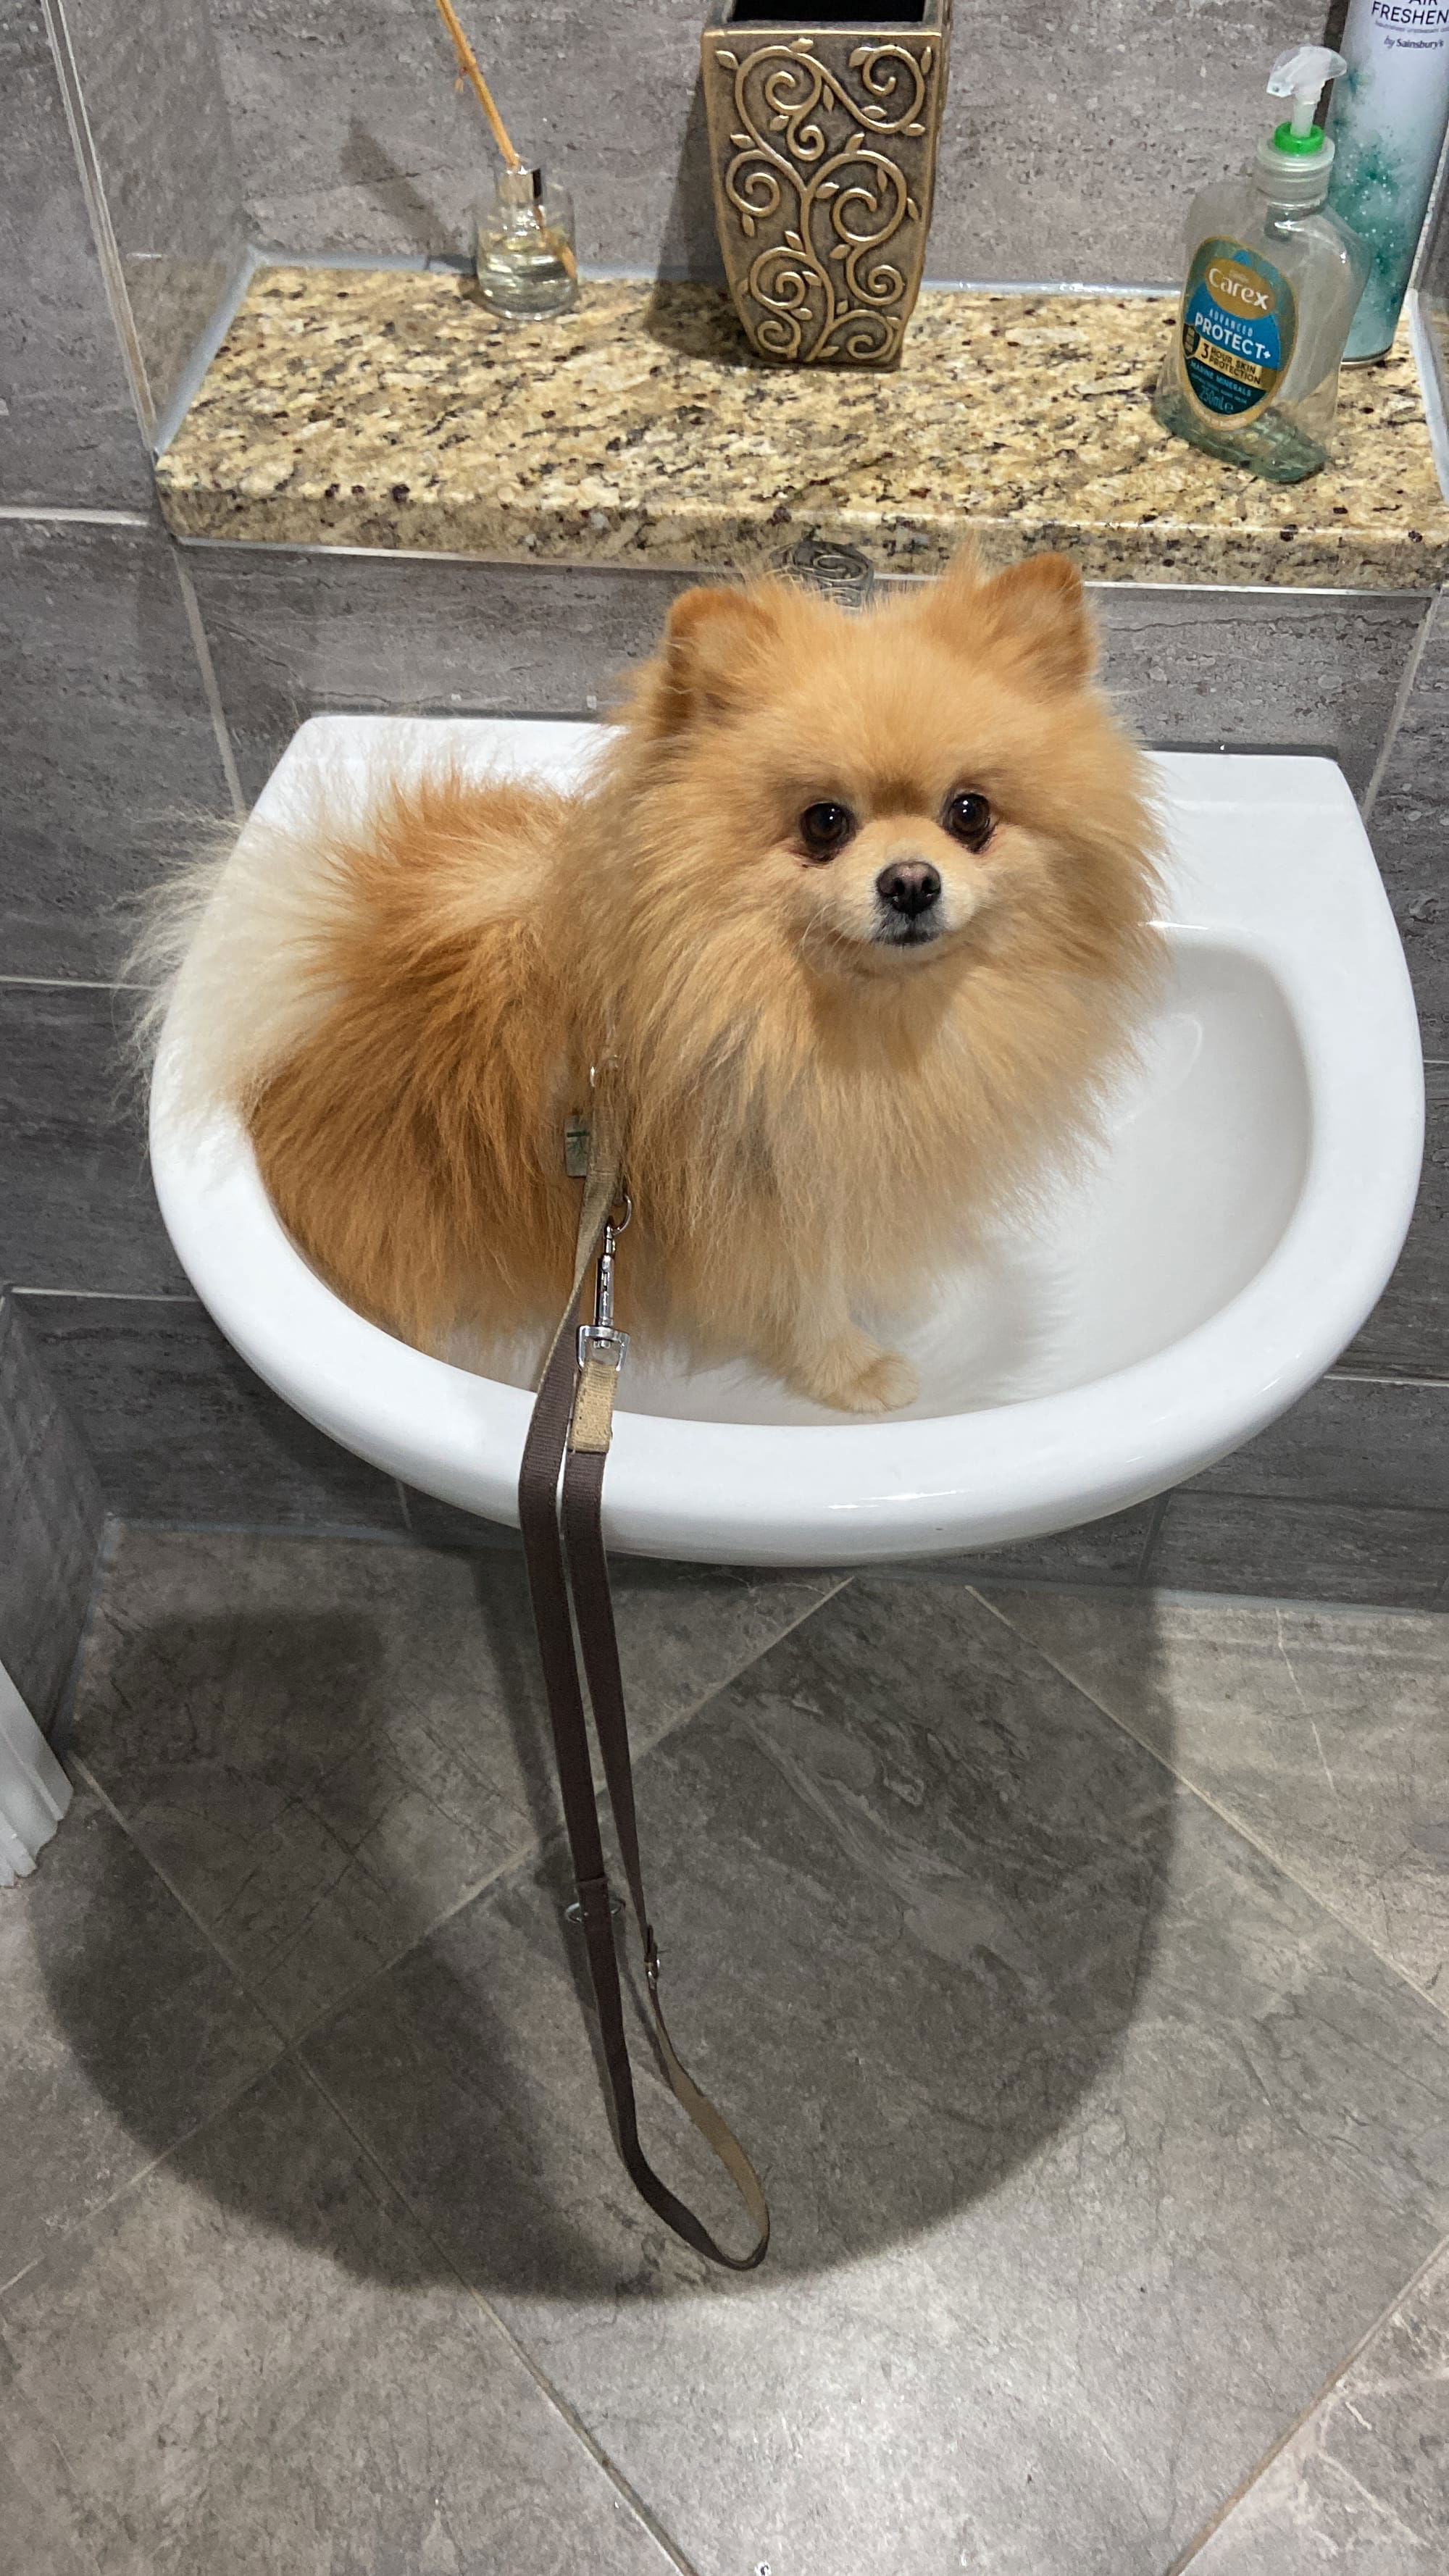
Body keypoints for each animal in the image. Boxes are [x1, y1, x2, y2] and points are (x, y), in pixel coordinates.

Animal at [151, 545, 1155, 1421]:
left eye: (969, 814)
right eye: (824, 822)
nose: (909, 881)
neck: (835, 1018)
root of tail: (314, 955)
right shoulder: (754, 1196)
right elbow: (806, 1296)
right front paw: (853, 1371)